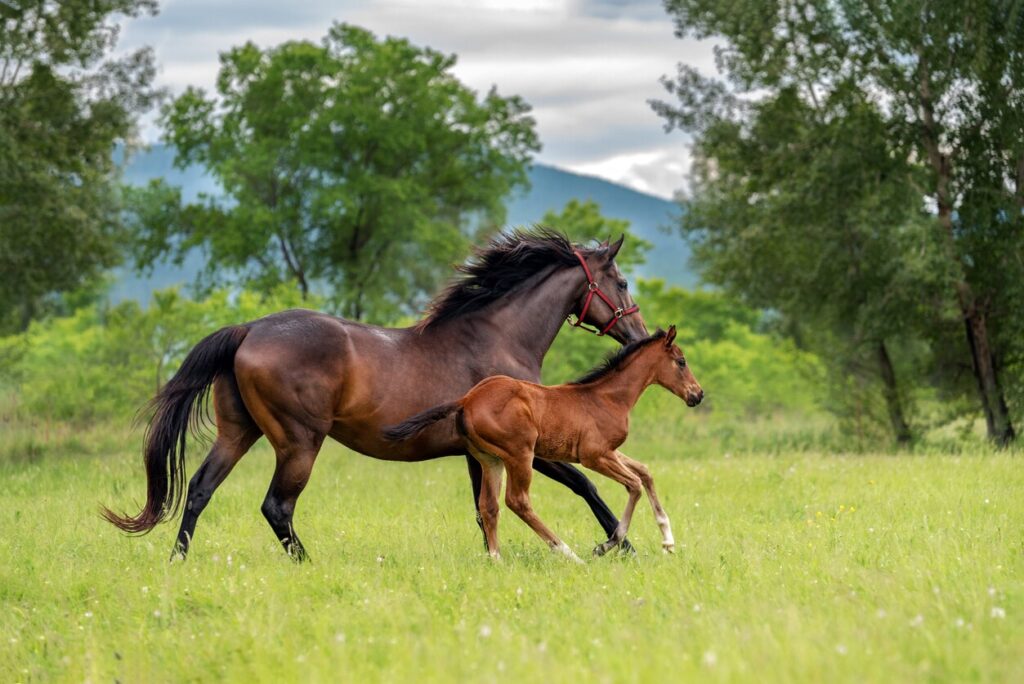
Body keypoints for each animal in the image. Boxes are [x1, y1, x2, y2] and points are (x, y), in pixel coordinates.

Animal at [102, 229, 649, 561]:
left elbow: (484, 511)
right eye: (621, 281)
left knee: (199, 489)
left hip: (239, 433)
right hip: (299, 443)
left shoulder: (479, 455)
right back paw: (307, 563)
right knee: (277, 506)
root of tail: (250, 329)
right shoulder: (526, 449)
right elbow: (586, 484)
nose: (640, 335)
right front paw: (621, 546)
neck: (497, 338)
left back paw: (178, 560)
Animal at [383, 327, 702, 561]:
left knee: (488, 505)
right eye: (681, 362)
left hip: (490, 460)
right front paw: (605, 545)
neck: (608, 397)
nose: (697, 395)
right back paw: (568, 553)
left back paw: (497, 559)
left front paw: (668, 540)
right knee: (517, 501)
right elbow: (634, 485)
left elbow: (645, 472)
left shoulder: (609, 451)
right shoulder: (595, 455)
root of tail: (466, 399)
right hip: (519, 455)